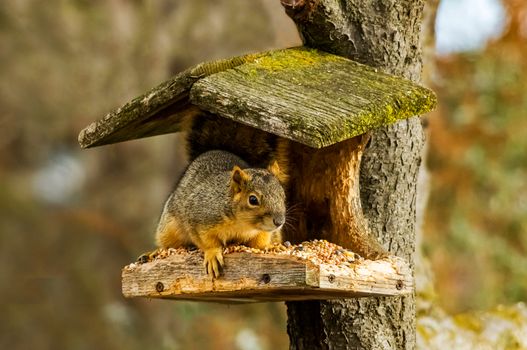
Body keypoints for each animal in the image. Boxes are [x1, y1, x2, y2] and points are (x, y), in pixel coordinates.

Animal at [155, 149, 286, 278]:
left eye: (283, 195)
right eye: (253, 200)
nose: (279, 222)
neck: (243, 224)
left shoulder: (263, 232)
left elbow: (259, 243)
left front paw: (270, 247)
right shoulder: (199, 218)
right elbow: (206, 241)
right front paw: (212, 253)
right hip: (169, 229)